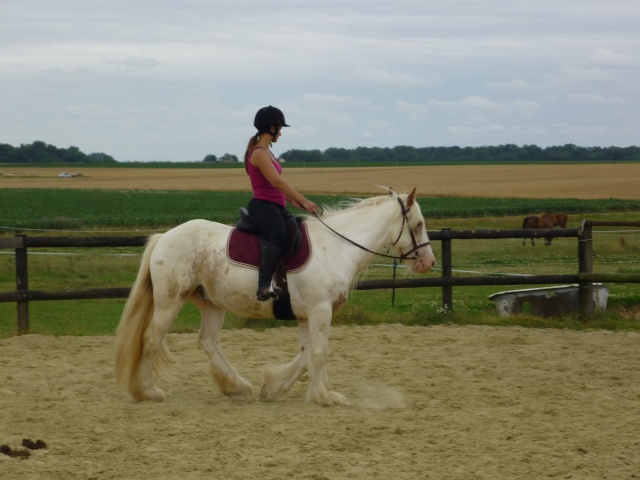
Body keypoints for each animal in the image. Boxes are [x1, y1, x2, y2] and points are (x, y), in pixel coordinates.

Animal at [114, 187, 436, 404]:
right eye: (419, 224)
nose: (429, 262)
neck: (336, 247)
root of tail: (164, 237)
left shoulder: (307, 316)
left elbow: (306, 356)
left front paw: (274, 387)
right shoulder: (320, 311)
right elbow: (319, 353)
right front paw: (326, 395)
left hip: (211, 303)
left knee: (208, 343)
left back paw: (237, 386)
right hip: (170, 301)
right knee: (152, 339)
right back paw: (148, 391)